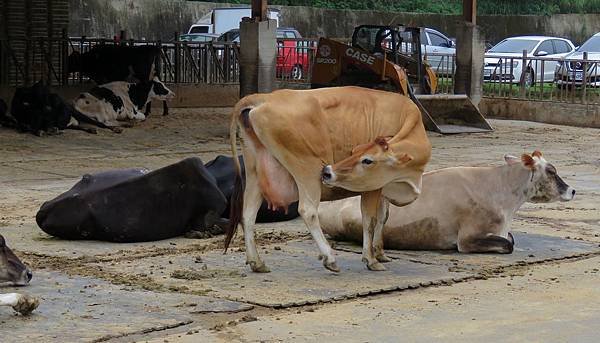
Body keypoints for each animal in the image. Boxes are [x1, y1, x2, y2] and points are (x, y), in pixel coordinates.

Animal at [226, 86, 432, 274]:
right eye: (358, 154)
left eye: (364, 156)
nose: (328, 171)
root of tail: (263, 98)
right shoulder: (372, 187)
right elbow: (370, 220)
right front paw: (371, 259)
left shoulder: (383, 187)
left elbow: (383, 217)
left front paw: (380, 252)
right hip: (307, 169)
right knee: (308, 211)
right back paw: (330, 258)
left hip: (254, 172)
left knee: (248, 214)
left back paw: (256, 262)